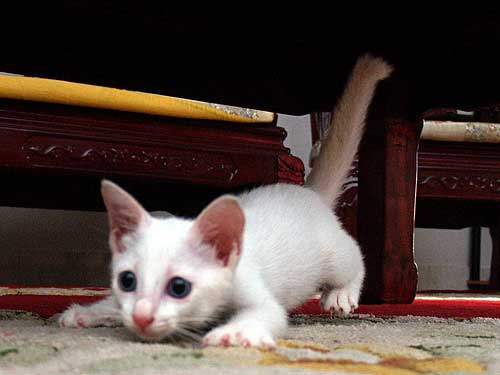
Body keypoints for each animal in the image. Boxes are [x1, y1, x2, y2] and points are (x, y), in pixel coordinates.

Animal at [59, 55, 390, 350]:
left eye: (179, 287)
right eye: (127, 280)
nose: (141, 317)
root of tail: (309, 192)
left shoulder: (254, 290)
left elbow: (267, 312)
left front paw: (236, 332)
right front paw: (90, 312)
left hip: (332, 253)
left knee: (355, 256)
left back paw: (341, 295)